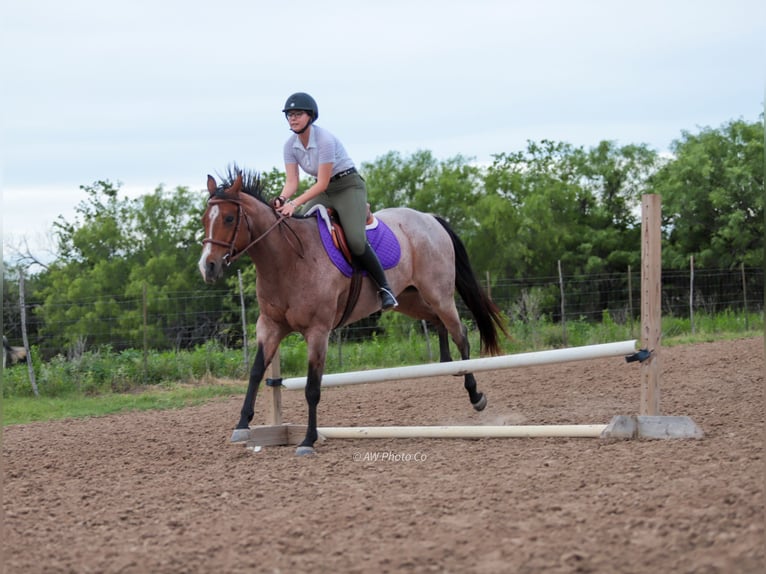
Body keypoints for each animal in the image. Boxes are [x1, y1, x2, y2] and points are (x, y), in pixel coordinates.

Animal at [198, 167, 508, 455]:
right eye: (204, 219)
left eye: (229, 219)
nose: (207, 267)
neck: (288, 261)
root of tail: (430, 218)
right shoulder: (270, 326)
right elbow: (256, 372)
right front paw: (242, 426)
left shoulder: (318, 332)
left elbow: (312, 387)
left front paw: (308, 440)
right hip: (409, 299)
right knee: (439, 322)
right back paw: (446, 364)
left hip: (439, 294)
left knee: (461, 333)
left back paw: (475, 395)